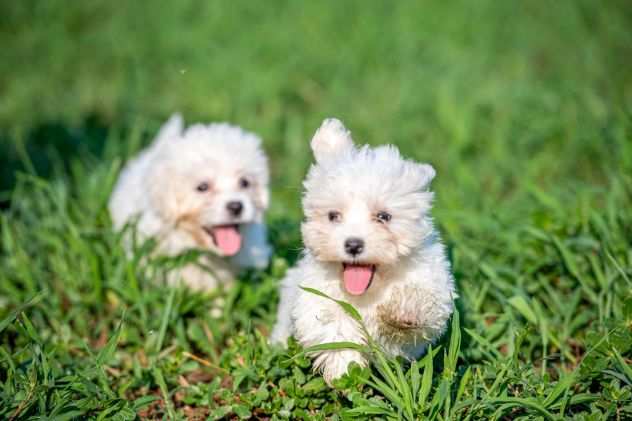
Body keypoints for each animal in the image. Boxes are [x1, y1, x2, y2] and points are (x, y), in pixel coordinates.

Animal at [270, 116, 454, 382]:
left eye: (384, 216)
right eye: (333, 215)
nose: (353, 244)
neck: (368, 290)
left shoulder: (433, 280)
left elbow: (424, 301)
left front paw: (403, 312)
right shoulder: (317, 297)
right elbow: (334, 329)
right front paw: (344, 368)